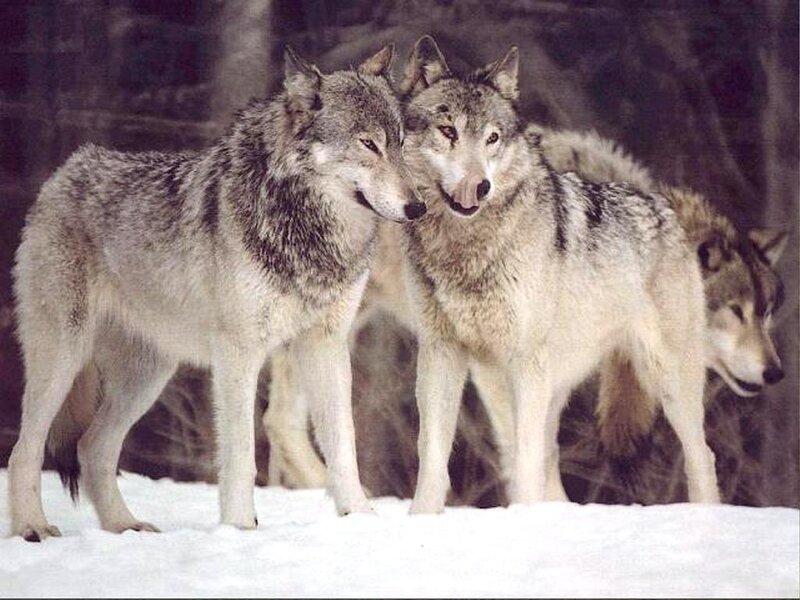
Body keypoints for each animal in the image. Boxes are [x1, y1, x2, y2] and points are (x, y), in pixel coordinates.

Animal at [8, 44, 426, 541]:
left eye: (400, 143)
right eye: (368, 144)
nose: (419, 206)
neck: (305, 234)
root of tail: (62, 174)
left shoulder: (325, 344)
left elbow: (343, 444)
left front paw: (359, 518)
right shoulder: (238, 352)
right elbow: (241, 454)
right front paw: (241, 526)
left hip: (147, 376)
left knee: (93, 446)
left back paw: (124, 526)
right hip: (63, 358)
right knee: (25, 447)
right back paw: (32, 527)